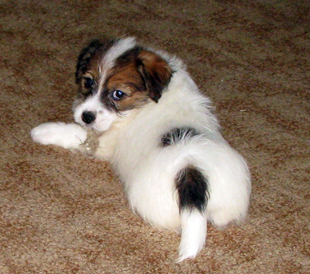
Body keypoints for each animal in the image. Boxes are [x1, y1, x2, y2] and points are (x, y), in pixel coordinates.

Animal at [30, 37, 251, 262]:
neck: (147, 100)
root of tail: (192, 172)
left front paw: (44, 131)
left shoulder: (104, 141)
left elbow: (77, 133)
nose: (86, 116)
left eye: (118, 94)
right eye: (88, 82)